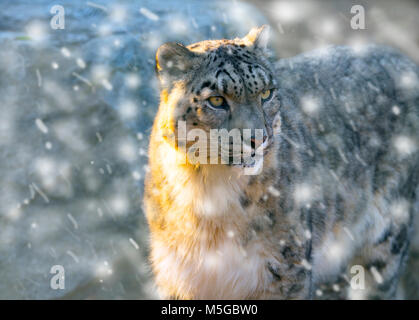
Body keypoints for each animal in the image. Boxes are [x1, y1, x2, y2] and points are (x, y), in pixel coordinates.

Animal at [143, 25, 418, 300]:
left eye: (266, 93)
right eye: (217, 100)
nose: (258, 139)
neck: (209, 194)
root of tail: (403, 59)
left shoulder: (285, 273)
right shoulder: (179, 279)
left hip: (387, 237)